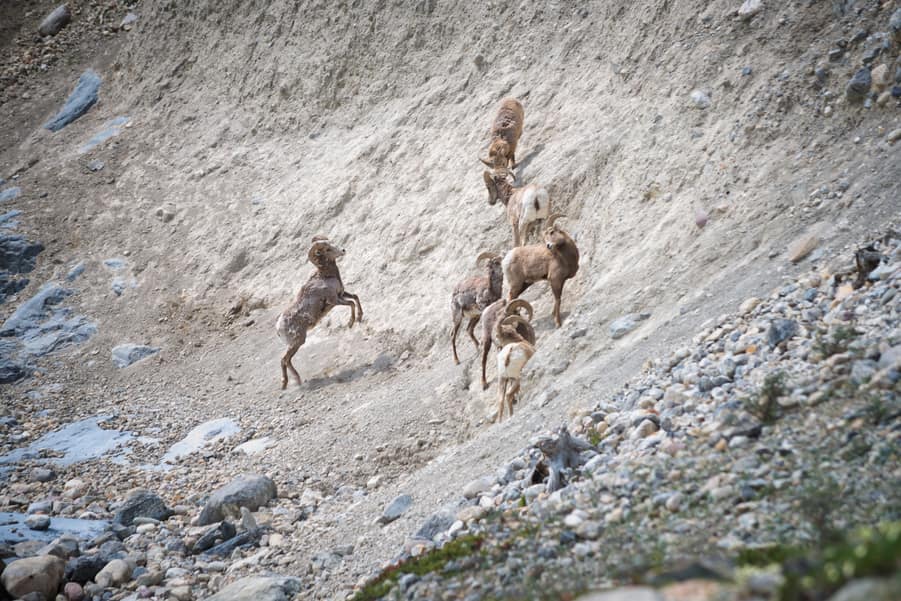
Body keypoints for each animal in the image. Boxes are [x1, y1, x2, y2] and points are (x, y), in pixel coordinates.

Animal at [274, 237, 362, 392]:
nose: (343, 250)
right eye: (327, 249)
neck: (325, 276)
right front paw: (350, 323)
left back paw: (297, 380)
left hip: (296, 343)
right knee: (284, 360)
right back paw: (287, 383)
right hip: (297, 342)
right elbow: (351, 303)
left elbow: (355, 298)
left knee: (288, 360)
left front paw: (360, 317)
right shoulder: (335, 300)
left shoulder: (341, 295)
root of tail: (278, 327)